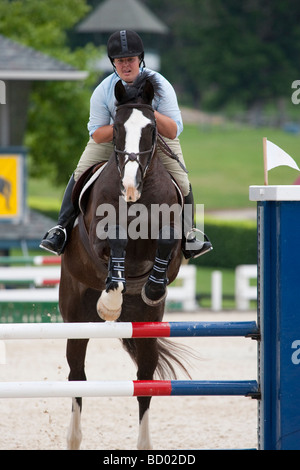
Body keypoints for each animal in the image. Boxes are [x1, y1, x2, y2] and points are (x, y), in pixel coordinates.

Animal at [59, 71, 190, 450]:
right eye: (116, 128)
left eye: (151, 128)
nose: (130, 187)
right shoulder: (99, 239)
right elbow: (115, 238)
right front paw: (111, 301)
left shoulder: (168, 242)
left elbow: (165, 241)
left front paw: (153, 286)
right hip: (75, 320)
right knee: (77, 376)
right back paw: (74, 438)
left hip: (148, 326)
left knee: (144, 381)